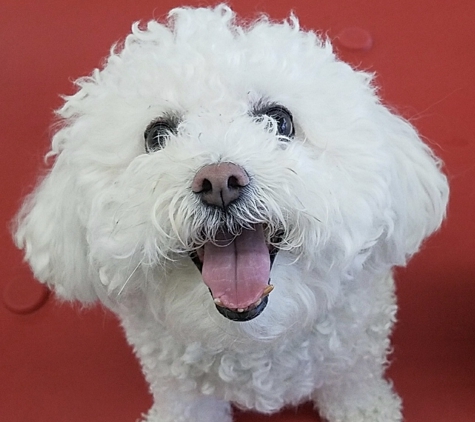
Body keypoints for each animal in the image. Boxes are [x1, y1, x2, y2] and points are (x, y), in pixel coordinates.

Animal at [13, 4, 448, 422]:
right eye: (156, 135)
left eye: (279, 120)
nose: (219, 181)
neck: (253, 341)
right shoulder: (178, 384)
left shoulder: (353, 351)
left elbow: (352, 382)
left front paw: (367, 410)